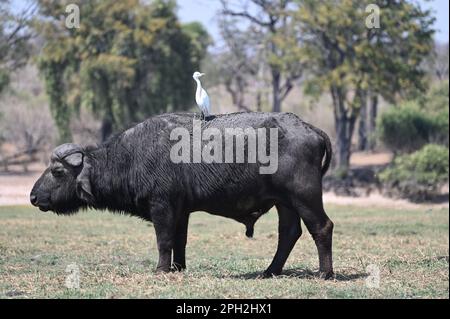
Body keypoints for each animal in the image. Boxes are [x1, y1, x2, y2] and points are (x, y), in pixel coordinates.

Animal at [29, 112, 332, 280]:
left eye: (57, 171)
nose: (32, 197)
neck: (131, 156)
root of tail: (310, 128)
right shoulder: (181, 210)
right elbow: (180, 241)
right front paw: (178, 267)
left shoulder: (162, 207)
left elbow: (163, 240)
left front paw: (162, 269)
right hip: (285, 202)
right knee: (289, 233)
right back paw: (270, 271)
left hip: (304, 196)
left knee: (322, 227)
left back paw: (324, 273)